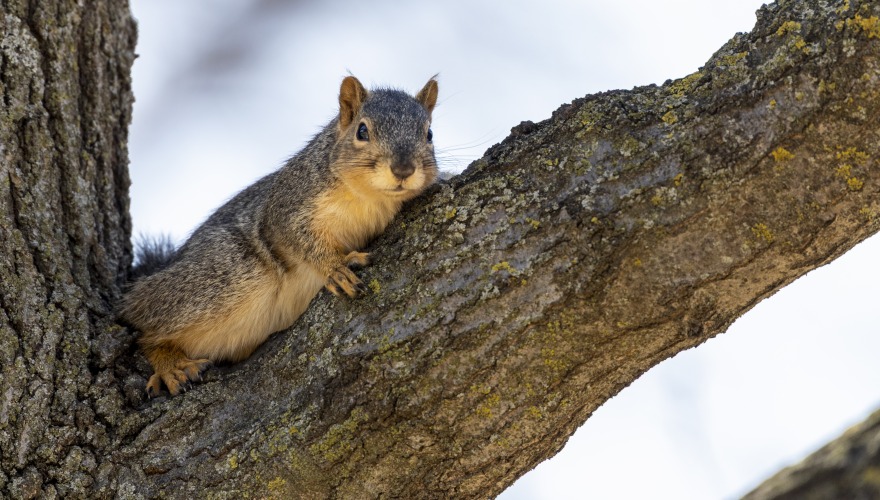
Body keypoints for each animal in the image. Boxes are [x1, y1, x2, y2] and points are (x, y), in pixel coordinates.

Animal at [120, 75, 439, 396]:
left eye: (429, 134)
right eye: (362, 131)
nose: (403, 169)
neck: (371, 199)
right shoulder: (286, 208)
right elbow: (299, 240)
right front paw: (334, 268)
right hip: (226, 275)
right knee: (143, 324)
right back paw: (170, 364)